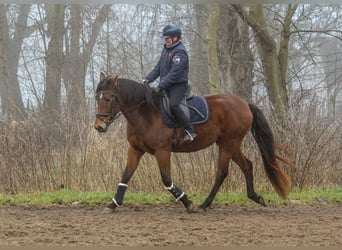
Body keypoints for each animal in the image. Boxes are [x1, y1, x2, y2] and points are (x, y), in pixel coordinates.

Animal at [94, 73, 292, 213]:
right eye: (97, 98)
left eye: (108, 99)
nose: (99, 126)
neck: (146, 112)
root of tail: (244, 103)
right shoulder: (135, 149)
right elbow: (125, 176)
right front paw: (113, 204)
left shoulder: (162, 151)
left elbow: (166, 180)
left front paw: (188, 203)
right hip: (231, 144)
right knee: (247, 166)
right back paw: (255, 197)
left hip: (228, 144)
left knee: (222, 173)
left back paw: (204, 204)